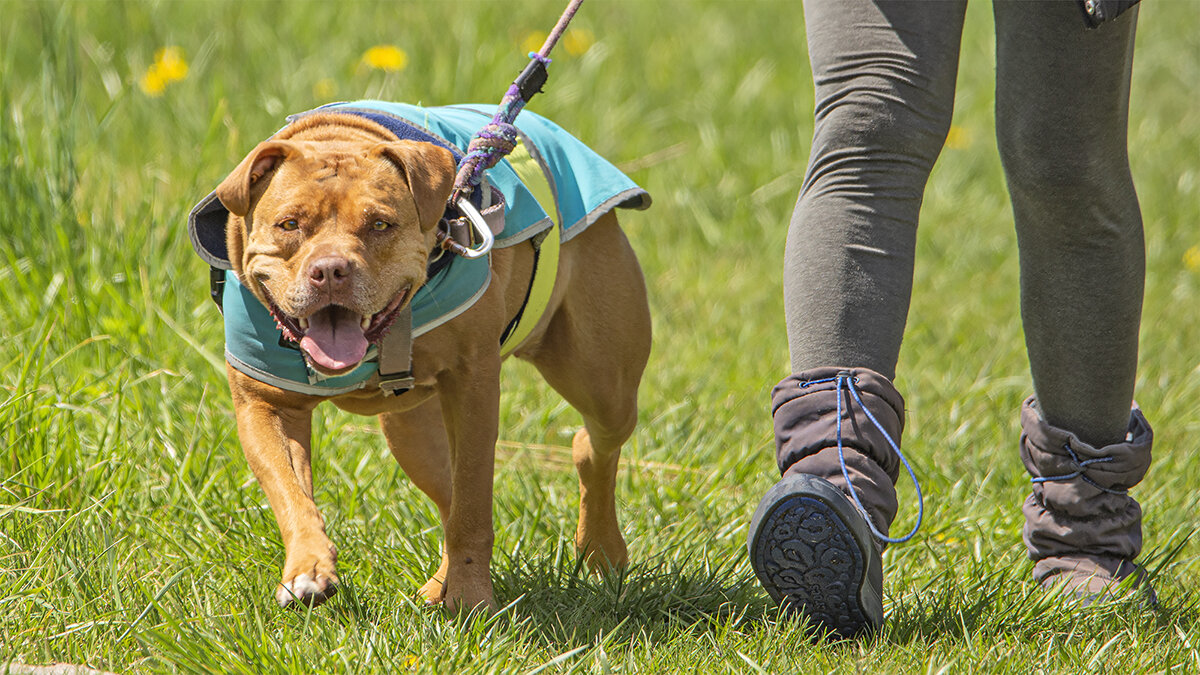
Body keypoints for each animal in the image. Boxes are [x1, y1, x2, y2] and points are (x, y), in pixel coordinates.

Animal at [211, 109, 652, 610]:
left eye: (380, 225)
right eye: (289, 224)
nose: (330, 270)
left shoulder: (474, 386)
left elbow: (473, 507)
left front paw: (472, 598)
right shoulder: (264, 407)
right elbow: (291, 496)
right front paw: (308, 570)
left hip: (603, 384)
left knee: (589, 446)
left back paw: (600, 551)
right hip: (411, 432)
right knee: (446, 494)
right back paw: (440, 584)